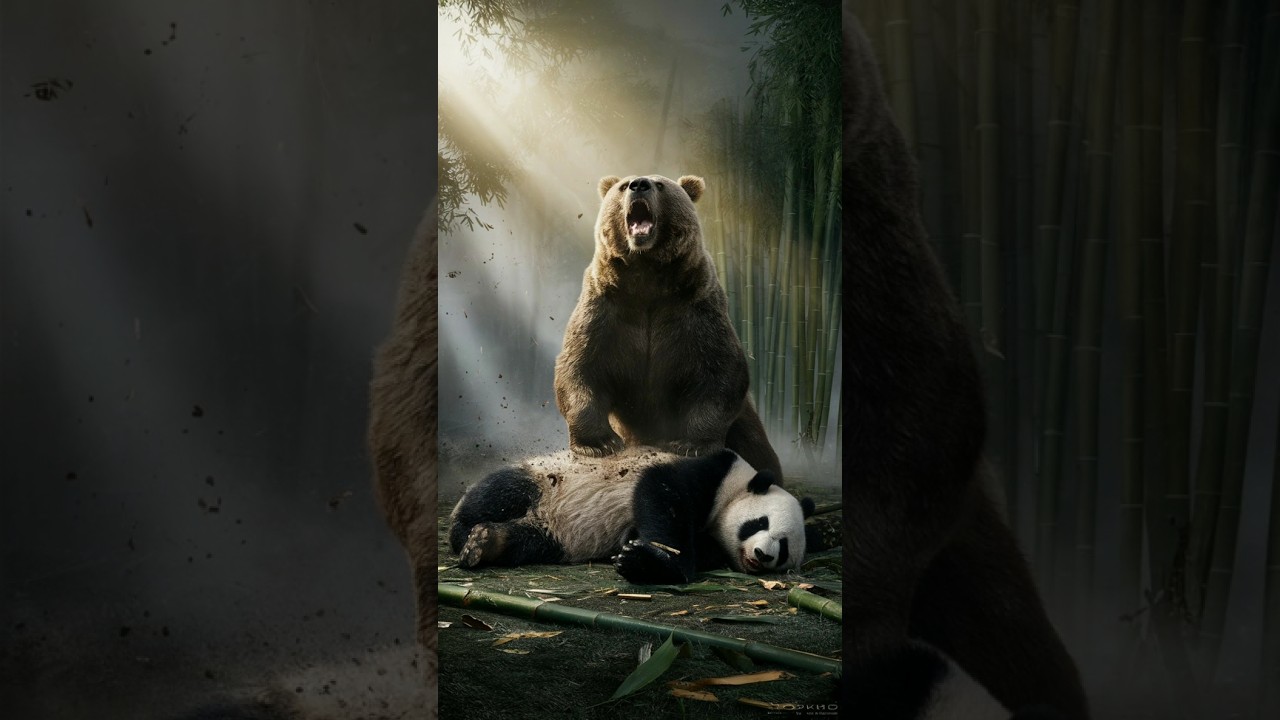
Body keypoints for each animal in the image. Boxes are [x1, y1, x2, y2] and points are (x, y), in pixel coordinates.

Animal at [447, 447, 818, 583]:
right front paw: (655, 562)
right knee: (499, 492)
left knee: (529, 541)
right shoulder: (712, 472)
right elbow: (661, 491)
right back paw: (467, 535)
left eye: (784, 549)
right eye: (760, 523)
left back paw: (490, 542)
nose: (763, 555)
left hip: (552, 537)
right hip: (548, 477)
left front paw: (637, 556)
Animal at [553, 173, 782, 479]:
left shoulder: (695, 308)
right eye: (623, 186)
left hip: (745, 422)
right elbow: (580, 366)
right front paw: (600, 443)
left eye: (660, 185)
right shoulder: (605, 308)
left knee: (756, 448)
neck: (647, 276)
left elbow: (720, 371)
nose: (639, 184)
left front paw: (689, 444)